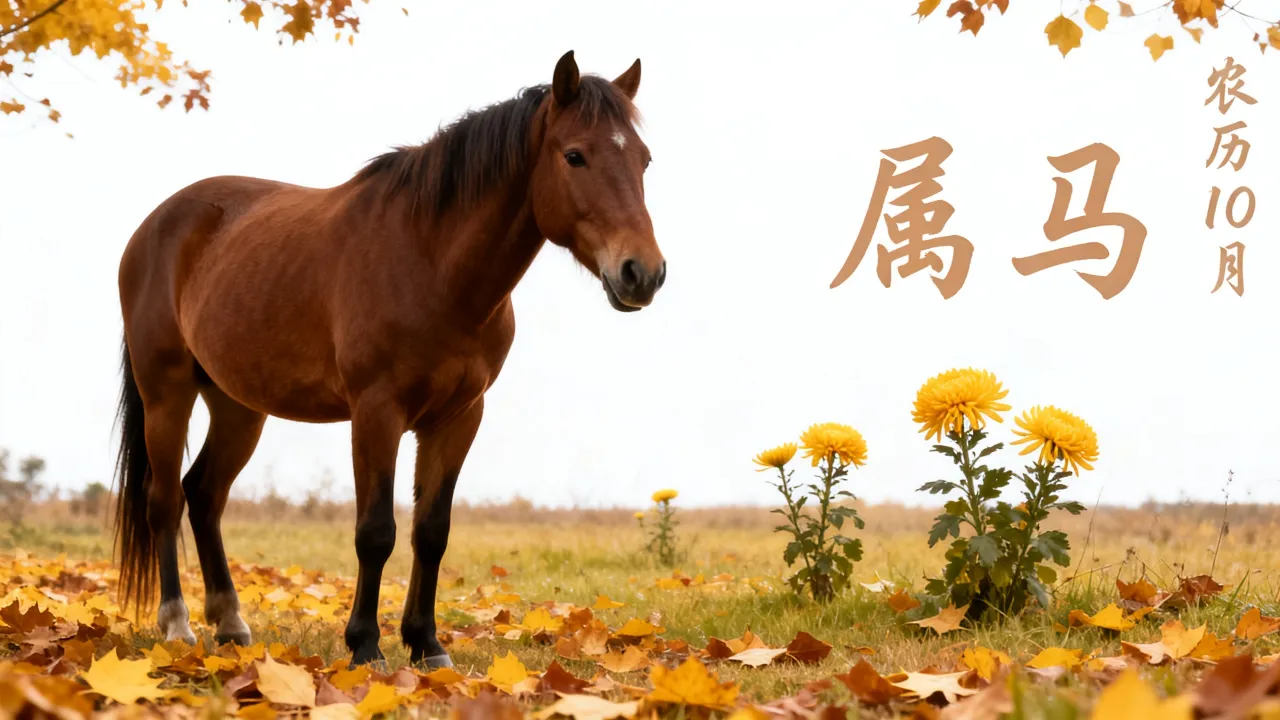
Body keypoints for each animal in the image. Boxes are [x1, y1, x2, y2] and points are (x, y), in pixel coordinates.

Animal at [111, 50, 666, 668]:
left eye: (643, 159)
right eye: (575, 156)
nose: (642, 273)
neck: (429, 261)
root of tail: (156, 225)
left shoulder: (458, 417)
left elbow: (432, 530)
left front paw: (426, 645)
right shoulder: (377, 412)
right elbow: (375, 531)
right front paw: (365, 646)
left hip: (238, 406)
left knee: (204, 494)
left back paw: (230, 623)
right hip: (167, 392)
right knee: (163, 501)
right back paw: (177, 625)